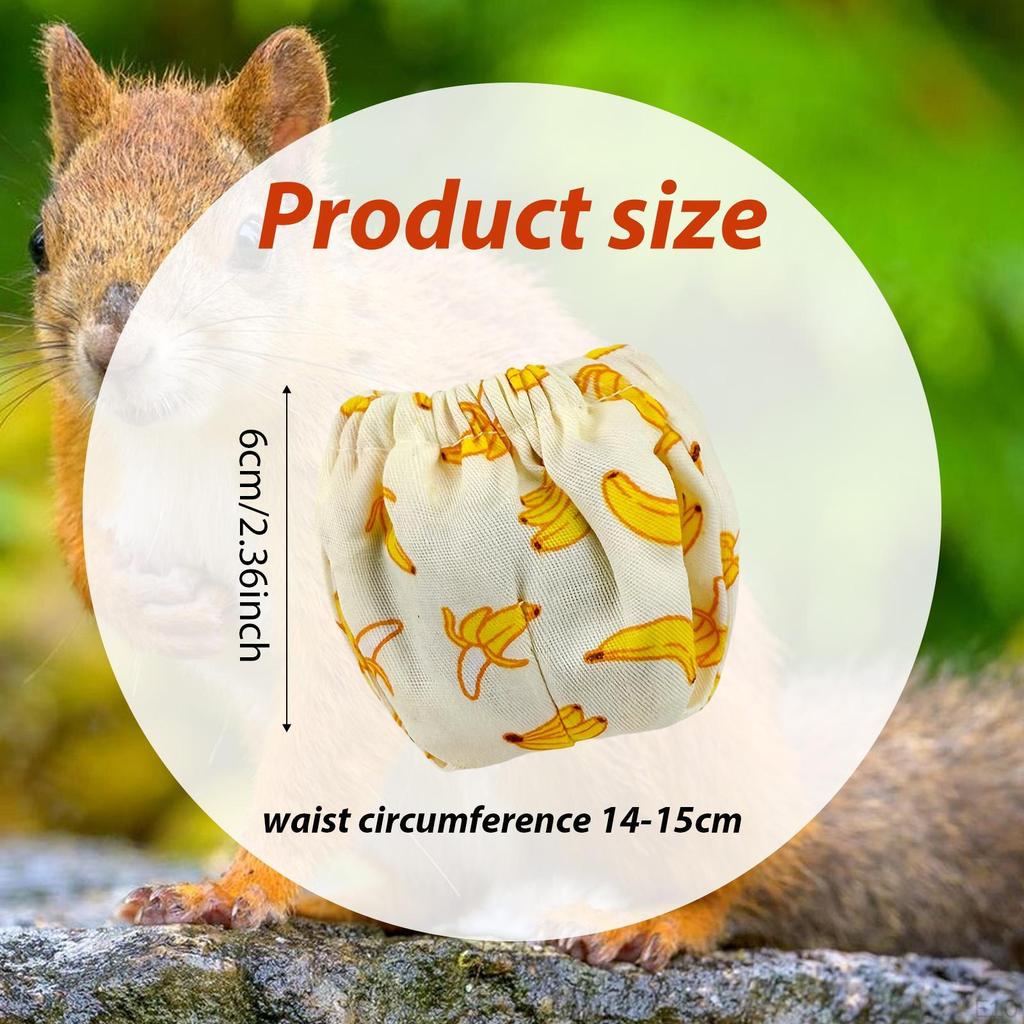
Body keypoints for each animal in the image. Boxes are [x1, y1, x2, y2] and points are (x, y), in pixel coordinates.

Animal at [33, 24, 1024, 971]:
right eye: (42, 239)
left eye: (251, 240)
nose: (112, 346)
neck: (192, 437)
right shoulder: (84, 455)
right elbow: (80, 555)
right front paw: (142, 603)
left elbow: (320, 740)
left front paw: (238, 889)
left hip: (636, 744)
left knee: (733, 878)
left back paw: (656, 921)